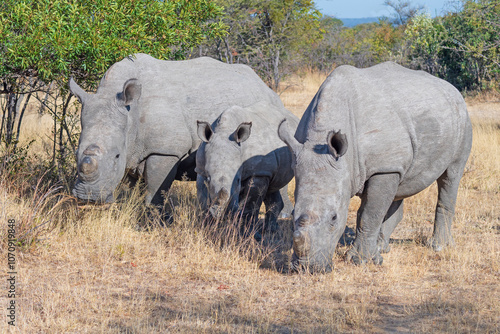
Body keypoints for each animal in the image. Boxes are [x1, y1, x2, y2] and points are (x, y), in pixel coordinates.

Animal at [70, 53, 294, 213]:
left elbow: (155, 191)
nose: (88, 198)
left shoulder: (165, 150)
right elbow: (134, 190)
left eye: (117, 156)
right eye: (75, 153)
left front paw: (154, 221)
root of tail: (266, 87)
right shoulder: (134, 149)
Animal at [194, 103, 296, 236]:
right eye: (209, 179)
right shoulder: (200, 170)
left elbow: (250, 206)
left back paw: (270, 232)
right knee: (272, 188)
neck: (224, 131)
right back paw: (271, 231)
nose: (223, 213)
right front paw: (207, 229)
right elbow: (203, 201)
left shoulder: (258, 172)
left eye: (238, 180)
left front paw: (248, 235)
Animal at [278, 62, 472, 272]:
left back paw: (438, 247)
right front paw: (372, 256)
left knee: (451, 176)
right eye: (293, 214)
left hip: (462, 118)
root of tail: (452, 88)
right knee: (400, 186)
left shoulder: (384, 167)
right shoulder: (382, 164)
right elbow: (374, 209)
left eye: (334, 218)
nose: (308, 268)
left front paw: (361, 260)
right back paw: (382, 248)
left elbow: (369, 214)